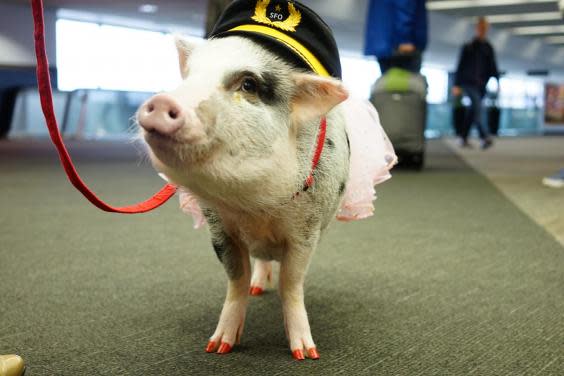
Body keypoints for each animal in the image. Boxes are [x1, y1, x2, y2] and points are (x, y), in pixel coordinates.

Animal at [137, 36, 354, 362]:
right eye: (189, 77)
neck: (255, 206)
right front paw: (218, 347)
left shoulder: (307, 230)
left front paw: (305, 353)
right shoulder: (218, 229)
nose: (162, 102)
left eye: (248, 84)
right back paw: (257, 289)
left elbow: (291, 283)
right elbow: (236, 279)